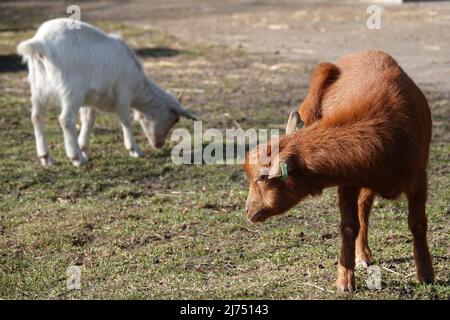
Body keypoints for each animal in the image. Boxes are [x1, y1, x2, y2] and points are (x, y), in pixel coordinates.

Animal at [16, 18, 196, 166]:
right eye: (174, 119)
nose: (159, 145)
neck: (138, 85)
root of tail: (41, 42)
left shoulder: (88, 100)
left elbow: (89, 120)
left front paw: (85, 148)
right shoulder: (123, 94)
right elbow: (126, 120)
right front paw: (134, 149)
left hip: (39, 87)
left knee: (37, 117)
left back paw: (46, 157)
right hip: (71, 90)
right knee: (65, 119)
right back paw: (76, 158)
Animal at [244, 50, 434, 292]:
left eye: (261, 178)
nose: (248, 210)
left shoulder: (419, 178)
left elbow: (417, 224)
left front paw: (426, 274)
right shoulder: (348, 181)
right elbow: (349, 226)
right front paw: (345, 280)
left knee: (365, 207)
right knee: (363, 210)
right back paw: (362, 256)